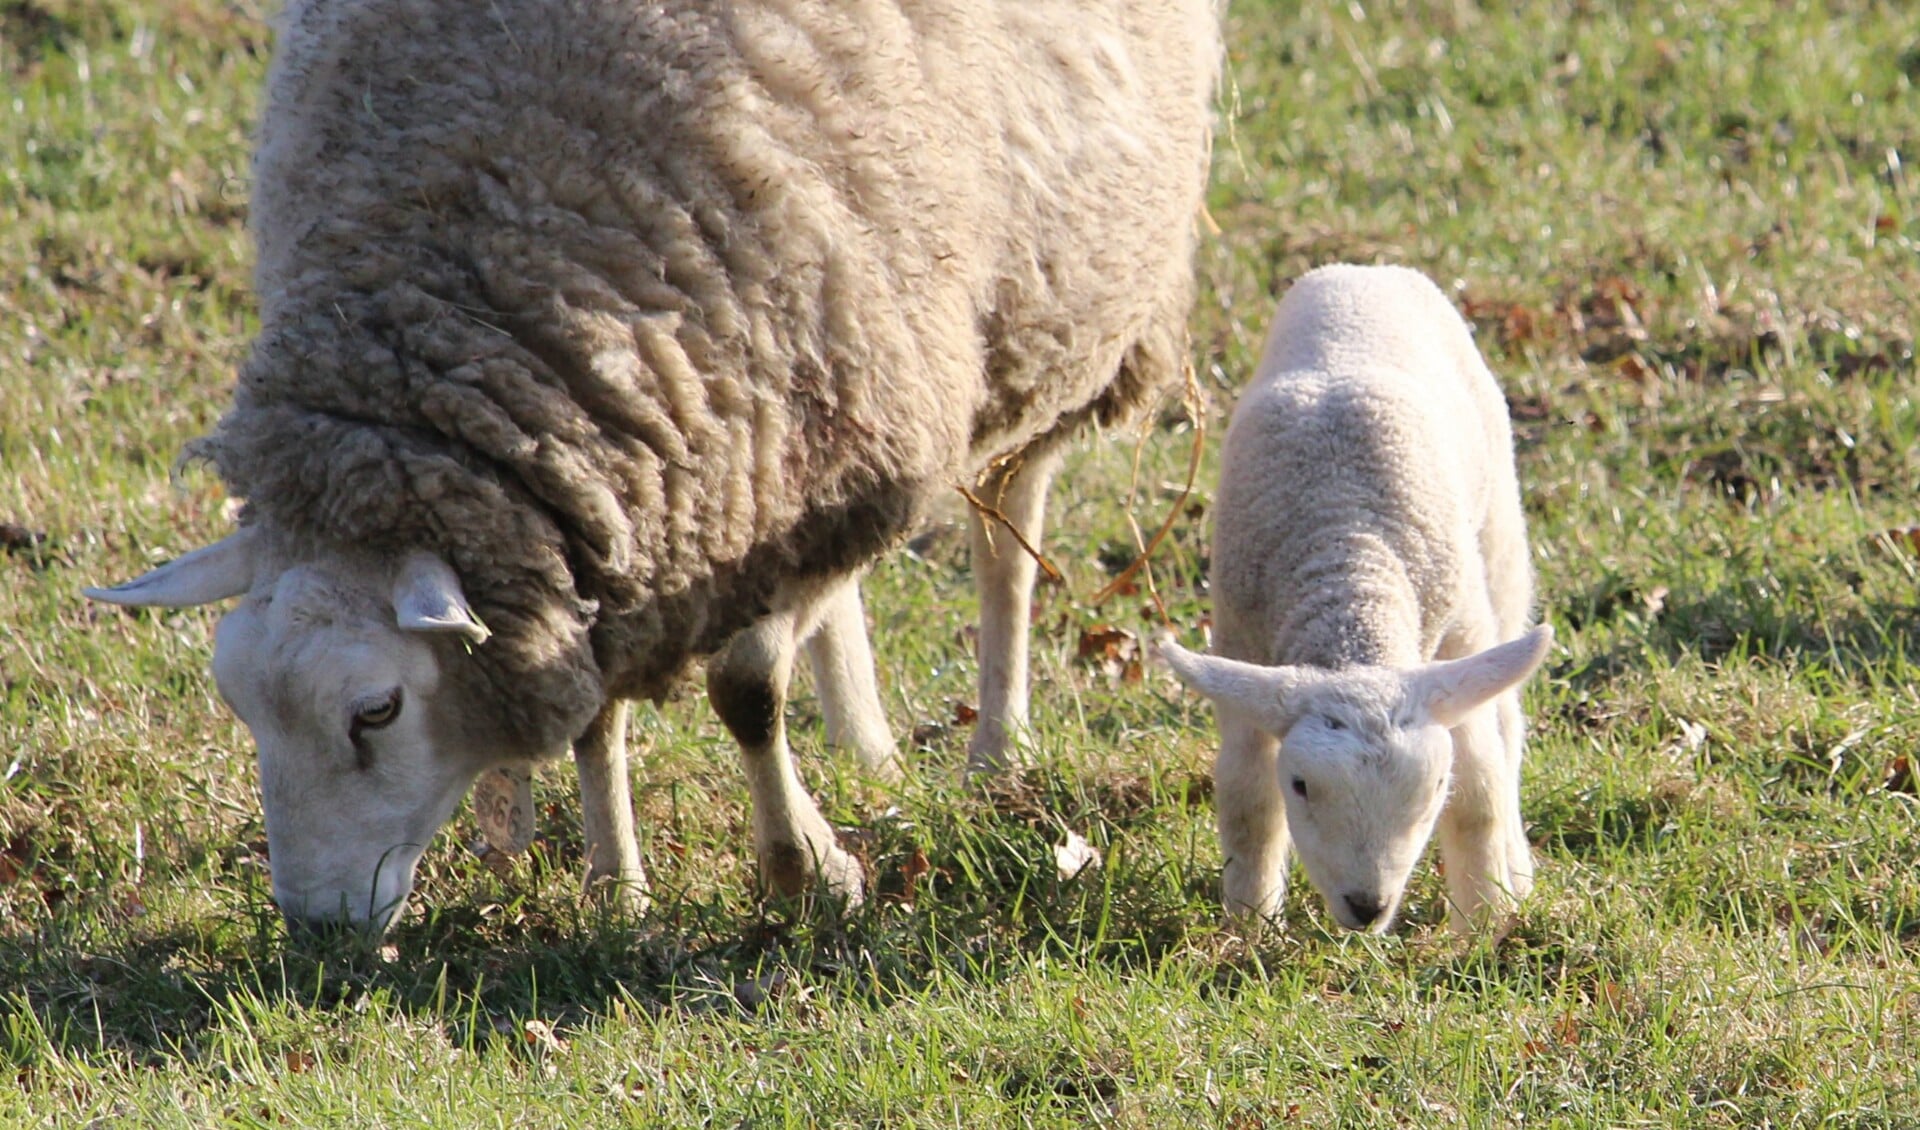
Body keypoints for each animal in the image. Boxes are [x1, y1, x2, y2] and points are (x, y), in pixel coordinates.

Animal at [86, 0, 1213, 932]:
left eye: (378, 711)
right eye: (239, 705)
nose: (317, 926)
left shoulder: (833, 452)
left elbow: (749, 690)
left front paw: (803, 869)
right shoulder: (625, 508)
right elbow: (598, 713)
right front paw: (616, 884)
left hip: (1060, 307)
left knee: (1006, 526)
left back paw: (997, 746)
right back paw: (867, 745)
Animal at [1144, 264, 1551, 932]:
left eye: (1433, 789)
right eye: (1302, 786)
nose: (1368, 906)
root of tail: (1366, 270)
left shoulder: (1457, 641)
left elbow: (1480, 795)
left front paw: (1486, 927)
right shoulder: (1241, 649)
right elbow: (1248, 802)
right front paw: (1250, 929)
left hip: (1499, 544)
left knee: (1507, 719)